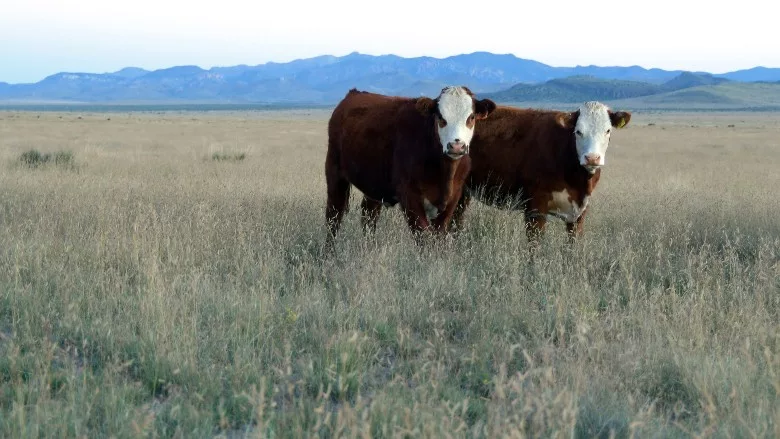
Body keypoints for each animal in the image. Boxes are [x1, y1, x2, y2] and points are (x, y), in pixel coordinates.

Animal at [325, 86, 496, 247]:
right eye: (440, 116)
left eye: (471, 117)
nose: (456, 146)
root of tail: (353, 94)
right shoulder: (410, 197)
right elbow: (424, 238)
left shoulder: (453, 198)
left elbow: (439, 236)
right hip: (334, 172)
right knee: (334, 216)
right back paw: (329, 253)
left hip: (373, 185)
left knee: (369, 215)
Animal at [450, 101, 631, 246]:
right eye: (578, 131)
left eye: (608, 131)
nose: (592, 158)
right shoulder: (535, 207)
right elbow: (535, 247)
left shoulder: (579, 212)